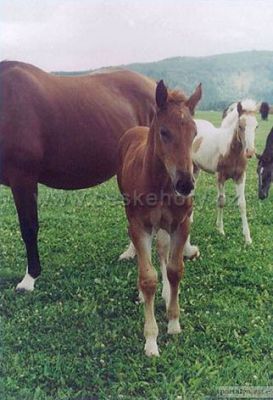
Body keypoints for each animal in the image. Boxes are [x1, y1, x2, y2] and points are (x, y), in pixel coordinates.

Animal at [116, 79, 201, 354]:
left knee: (163, 249)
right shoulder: (140, 226)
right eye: (164, 132)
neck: (162, 183)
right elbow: (147, 277)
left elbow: (175, 270)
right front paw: (151, 339)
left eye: (194, 132)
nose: (186, 184)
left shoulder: (180, 225)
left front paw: (173, 322)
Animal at [191, 100, 258, 244]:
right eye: (240, 126)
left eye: (257, 126)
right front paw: (221, 230)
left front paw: (247, 238)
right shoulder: (220, 177)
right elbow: (221, 201)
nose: (250, 152)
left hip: (196, 169)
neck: (231, 151)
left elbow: (242, 204)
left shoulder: (240, 177)